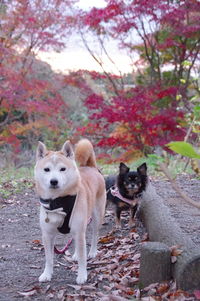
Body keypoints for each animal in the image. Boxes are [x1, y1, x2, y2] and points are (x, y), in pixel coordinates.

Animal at [34, 138, 106, 284]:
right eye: (47, 169)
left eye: (62, 169)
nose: (54, 181)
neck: (58, 201)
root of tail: (91, 167)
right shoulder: (47, 234)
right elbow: (49, 259)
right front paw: (47, 274)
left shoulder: (79, 230)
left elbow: (83, 259)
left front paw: (82, 275)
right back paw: (76, 254)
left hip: (96, 217)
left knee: (94, 235)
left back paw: (92, 252)